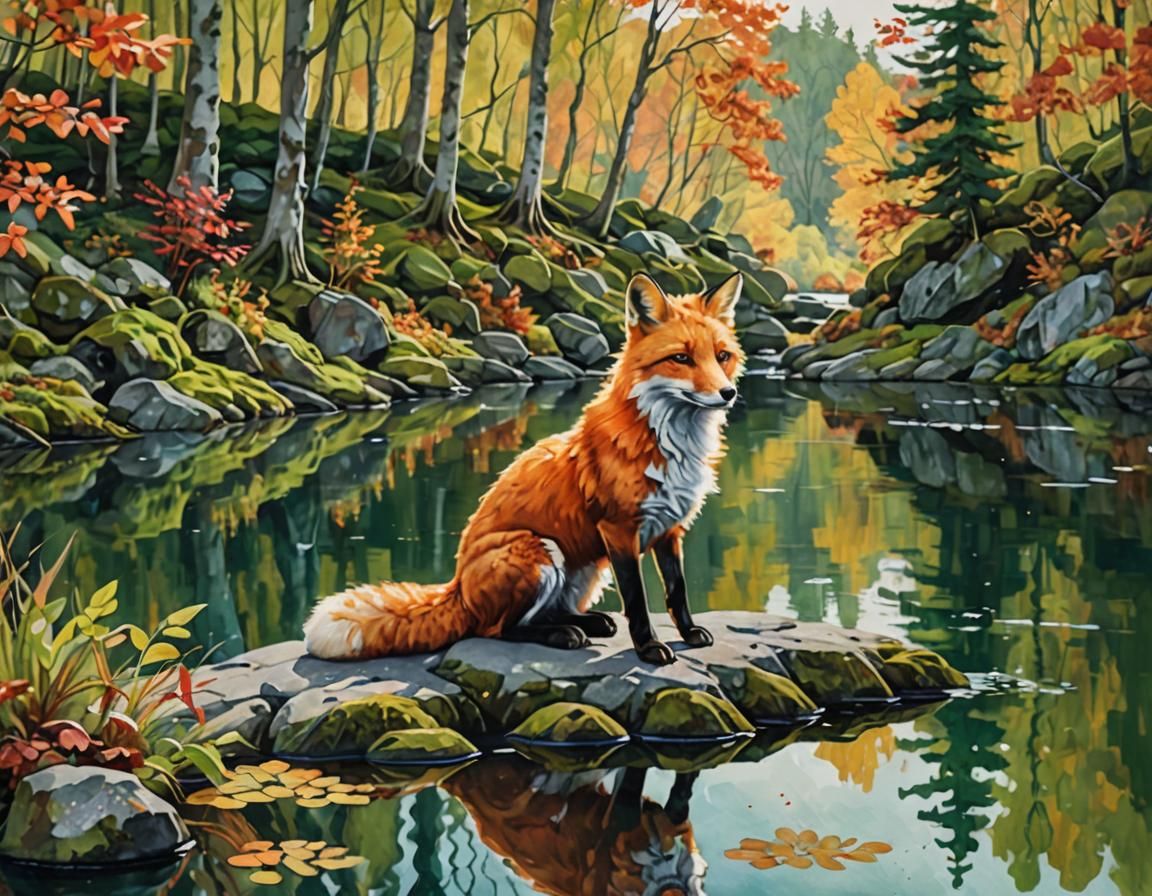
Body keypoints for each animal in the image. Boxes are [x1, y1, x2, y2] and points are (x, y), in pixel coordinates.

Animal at [304, 271, 745, 665]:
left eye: (722, 356)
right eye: (681, 358)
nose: (729, 393)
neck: (669, 443)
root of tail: (457, 589)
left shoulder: (670, 528)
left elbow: (676, 590)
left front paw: (689, 632)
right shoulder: (618, 529)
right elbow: (637, 600)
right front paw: (649, 648)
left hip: (586, 569)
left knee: (545, 614)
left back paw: (587, 622)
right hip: (538, 551)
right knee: (497, 630)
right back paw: (564, 634)